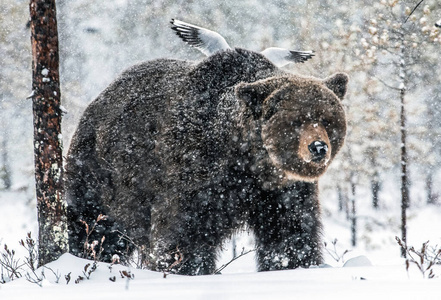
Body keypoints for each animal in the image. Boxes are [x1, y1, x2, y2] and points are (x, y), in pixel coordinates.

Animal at [65, 48, 348, 276]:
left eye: (327, 119)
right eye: (296, 121)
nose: (318, 147)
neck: (247, 161)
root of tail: (100, 96)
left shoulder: (282, 192)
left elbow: (291, 231)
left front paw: (295, 264)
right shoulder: (194, 169)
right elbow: (184, 233)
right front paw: (185, 268)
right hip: (99, 174)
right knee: (94, 225)